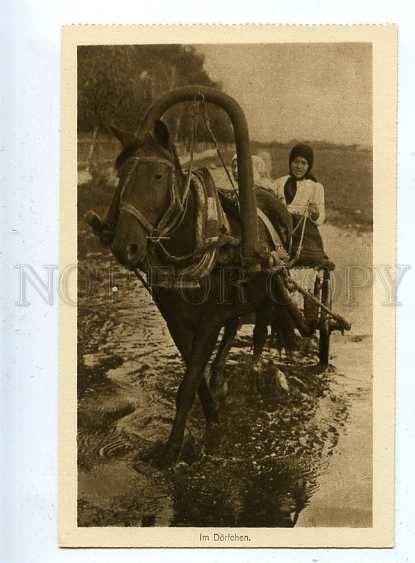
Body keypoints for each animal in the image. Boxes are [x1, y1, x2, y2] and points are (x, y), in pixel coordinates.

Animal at [94, 87, 308, 468]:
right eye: (120, 177)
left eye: (158, 177)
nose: (124, 246)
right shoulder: (176, 319)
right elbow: (194, 377)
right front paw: (211, 416)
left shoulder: (208, 318)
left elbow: (190, 380)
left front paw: (172, 450)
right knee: (233, 328)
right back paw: (221, 373)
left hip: (270, 290)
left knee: (259, 332)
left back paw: (255, 372)